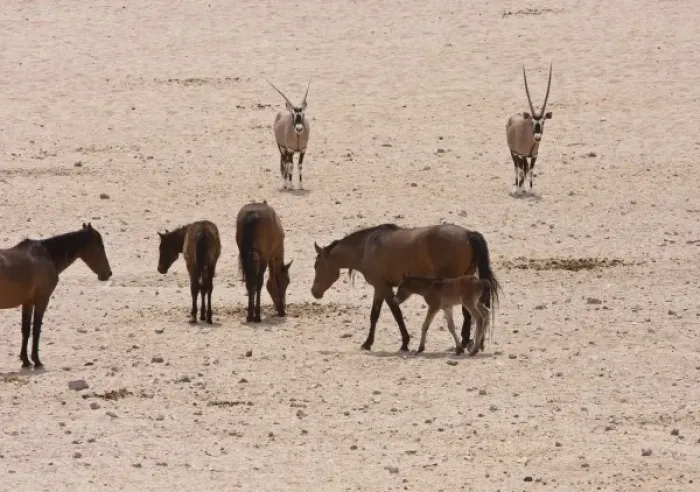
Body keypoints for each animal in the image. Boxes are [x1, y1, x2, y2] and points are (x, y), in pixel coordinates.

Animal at [0, 223, 112, 368]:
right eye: (100, 247)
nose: (108, 273)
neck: (47, 255)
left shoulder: (28, 302)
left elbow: (26, 330)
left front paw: (25, 360)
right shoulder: (42, 300)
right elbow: (36, 329)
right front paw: (36, 360)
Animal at [310, 223, 499, 352]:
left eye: (317, 265)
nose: (314, 292)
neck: (366, 248)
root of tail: (468, 234)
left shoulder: (383, 287)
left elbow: (395, 313)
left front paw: (403, 342)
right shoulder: (379, 288)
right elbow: (375, 315)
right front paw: (370, 342)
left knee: (469, 312)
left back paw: (467, 342)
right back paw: (472, 342)